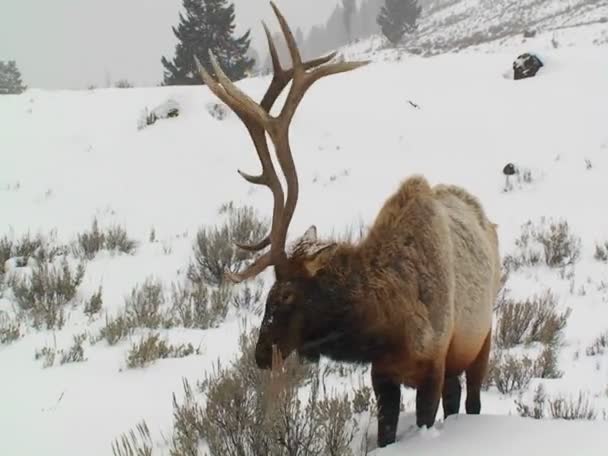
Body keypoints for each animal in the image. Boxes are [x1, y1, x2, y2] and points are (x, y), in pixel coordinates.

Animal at [197, 0, 502, 448]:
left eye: (285, 296)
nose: (260, 353)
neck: (389, 326)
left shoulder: (434, 363)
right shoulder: (383, 375)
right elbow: (387, 431)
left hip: (481, 340)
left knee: (473, 399)